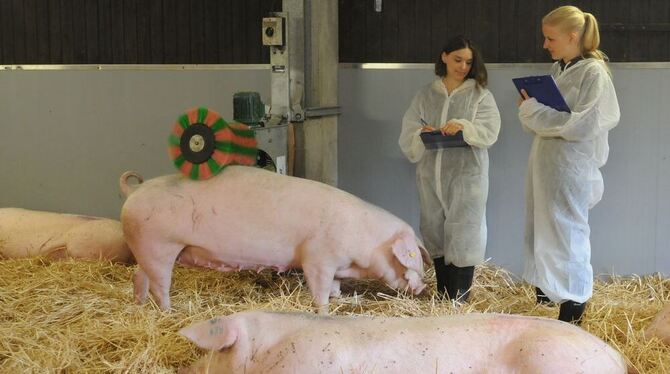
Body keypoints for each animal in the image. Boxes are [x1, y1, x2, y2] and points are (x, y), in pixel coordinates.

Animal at [120, 166, 430, 312]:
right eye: (411, 258)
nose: (423, 287)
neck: (364, 241)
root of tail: (135, 191)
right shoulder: (318, 258)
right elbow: (320, 287)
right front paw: (324, 309)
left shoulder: (336, 266)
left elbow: (336, 285)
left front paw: (339, 297)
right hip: (159, 247)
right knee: (160, 285)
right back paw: (169, 311)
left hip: (146, 251)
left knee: (139, 276)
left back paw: (140, 304)